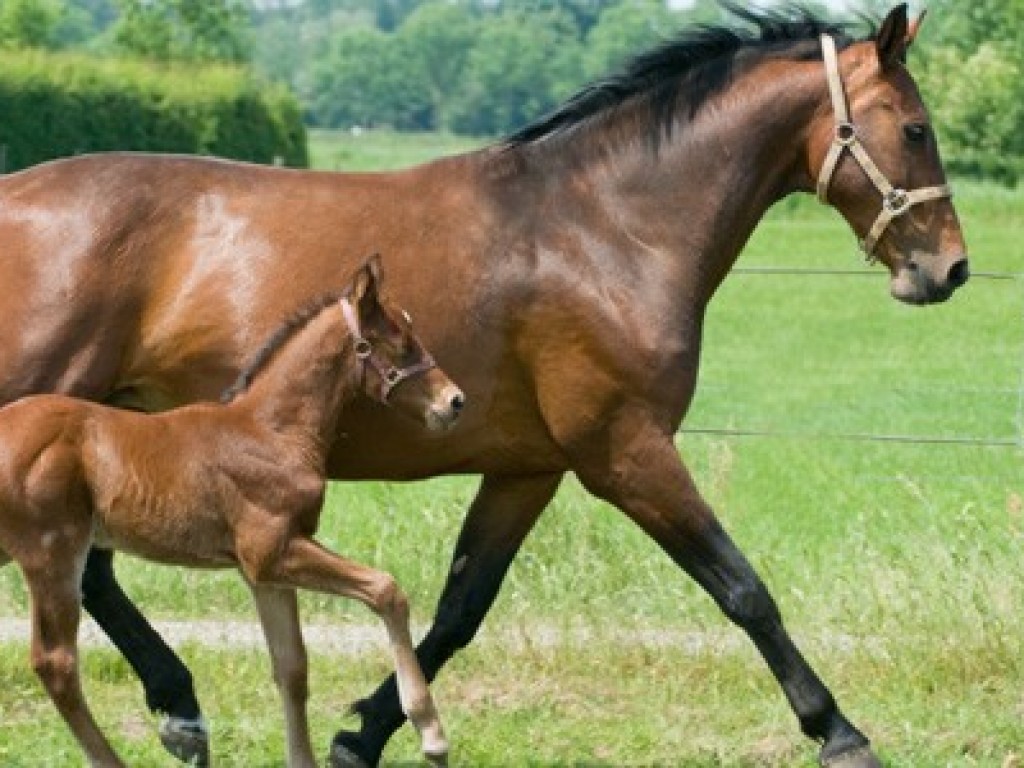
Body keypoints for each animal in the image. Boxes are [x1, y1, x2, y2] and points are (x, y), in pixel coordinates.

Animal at [0, 260, 460, 768]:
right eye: (400, 341)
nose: (454, 401)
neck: (271, 431)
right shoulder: (270, 552)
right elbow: (386, 589)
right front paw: (431, 733)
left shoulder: (264, 573)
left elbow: (291, 666)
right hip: (53, 552)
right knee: (56, 663)